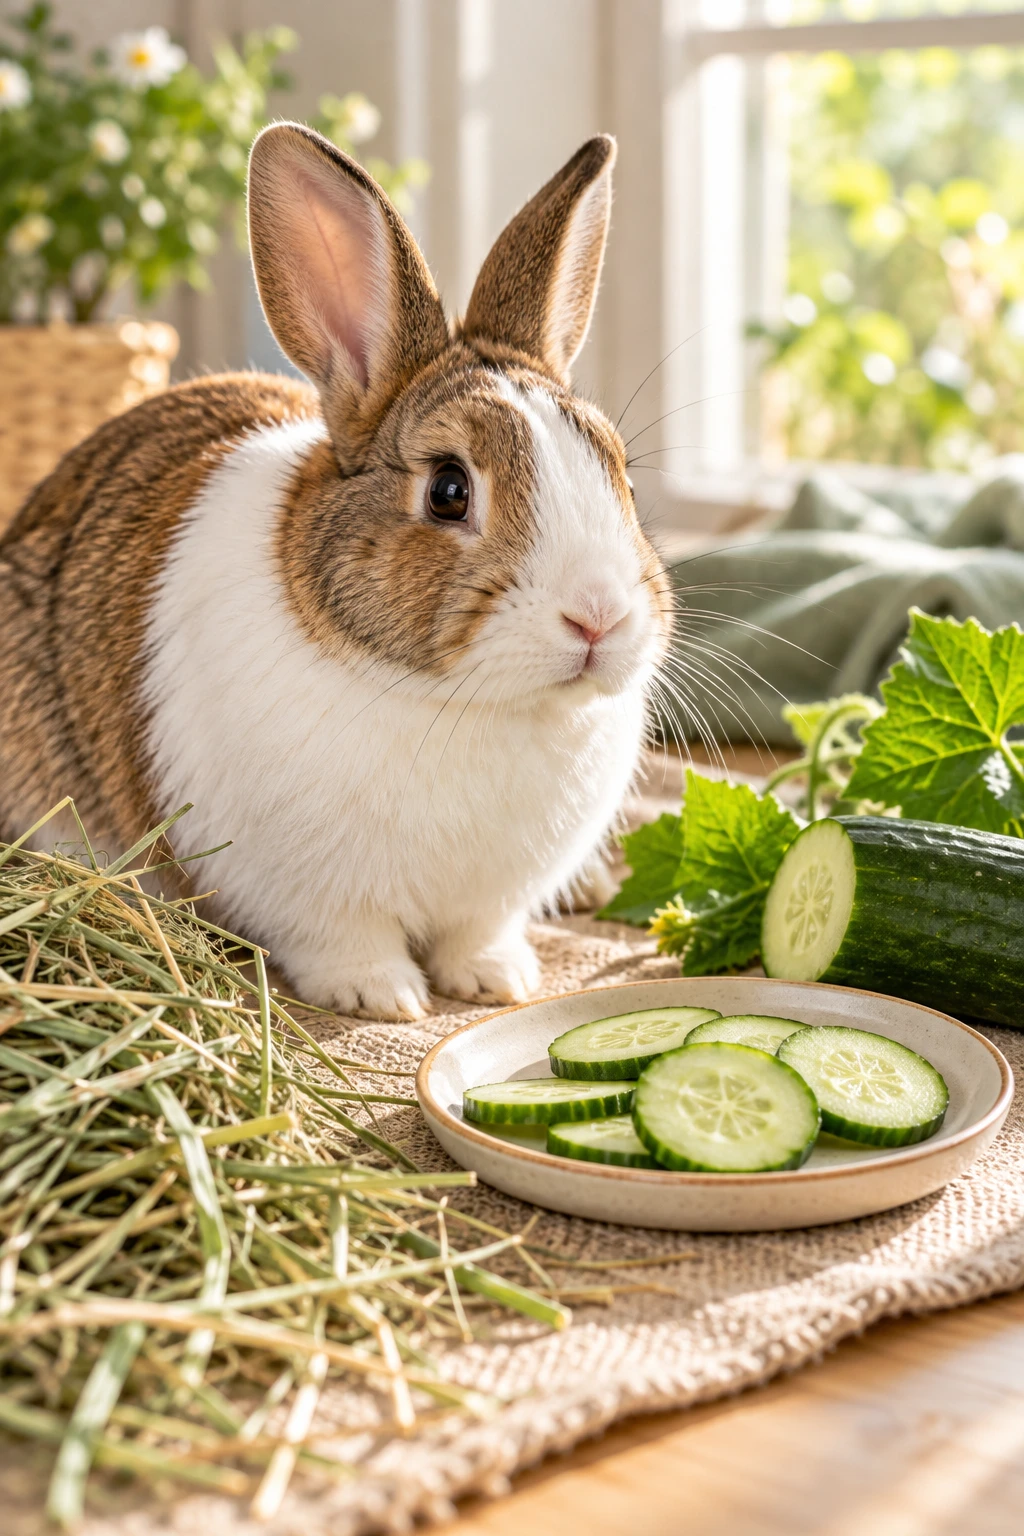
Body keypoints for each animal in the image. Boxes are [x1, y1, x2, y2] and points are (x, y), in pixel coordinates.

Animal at [0, 124, 673, 1020]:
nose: (598, 616)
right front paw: (385, 999)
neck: (473, 702)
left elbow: (479, 934)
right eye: (449, 490)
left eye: (622, 475)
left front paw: (499, 982)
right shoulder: (304, 897)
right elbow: (345, 943)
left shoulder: (491, 900)